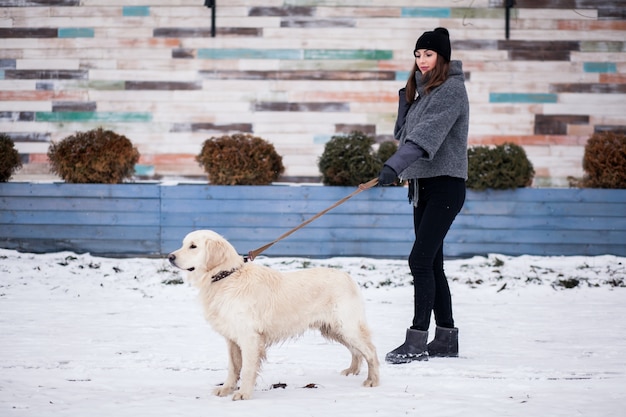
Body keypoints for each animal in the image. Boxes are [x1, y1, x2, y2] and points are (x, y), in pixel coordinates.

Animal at [168, 231, 378, 400]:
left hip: (347, 326)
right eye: (183, 244)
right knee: (356, 351)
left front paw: (243, 394)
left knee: (371, 352)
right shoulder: (232, 338)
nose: (170, 257)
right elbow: (233, 367)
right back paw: (352, 371)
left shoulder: (250, 337)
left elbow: (247, 369)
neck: (226, 276)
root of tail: (348, 276)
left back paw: (373, 381)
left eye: (193, 246)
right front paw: (226, 389)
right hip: (333, 329)